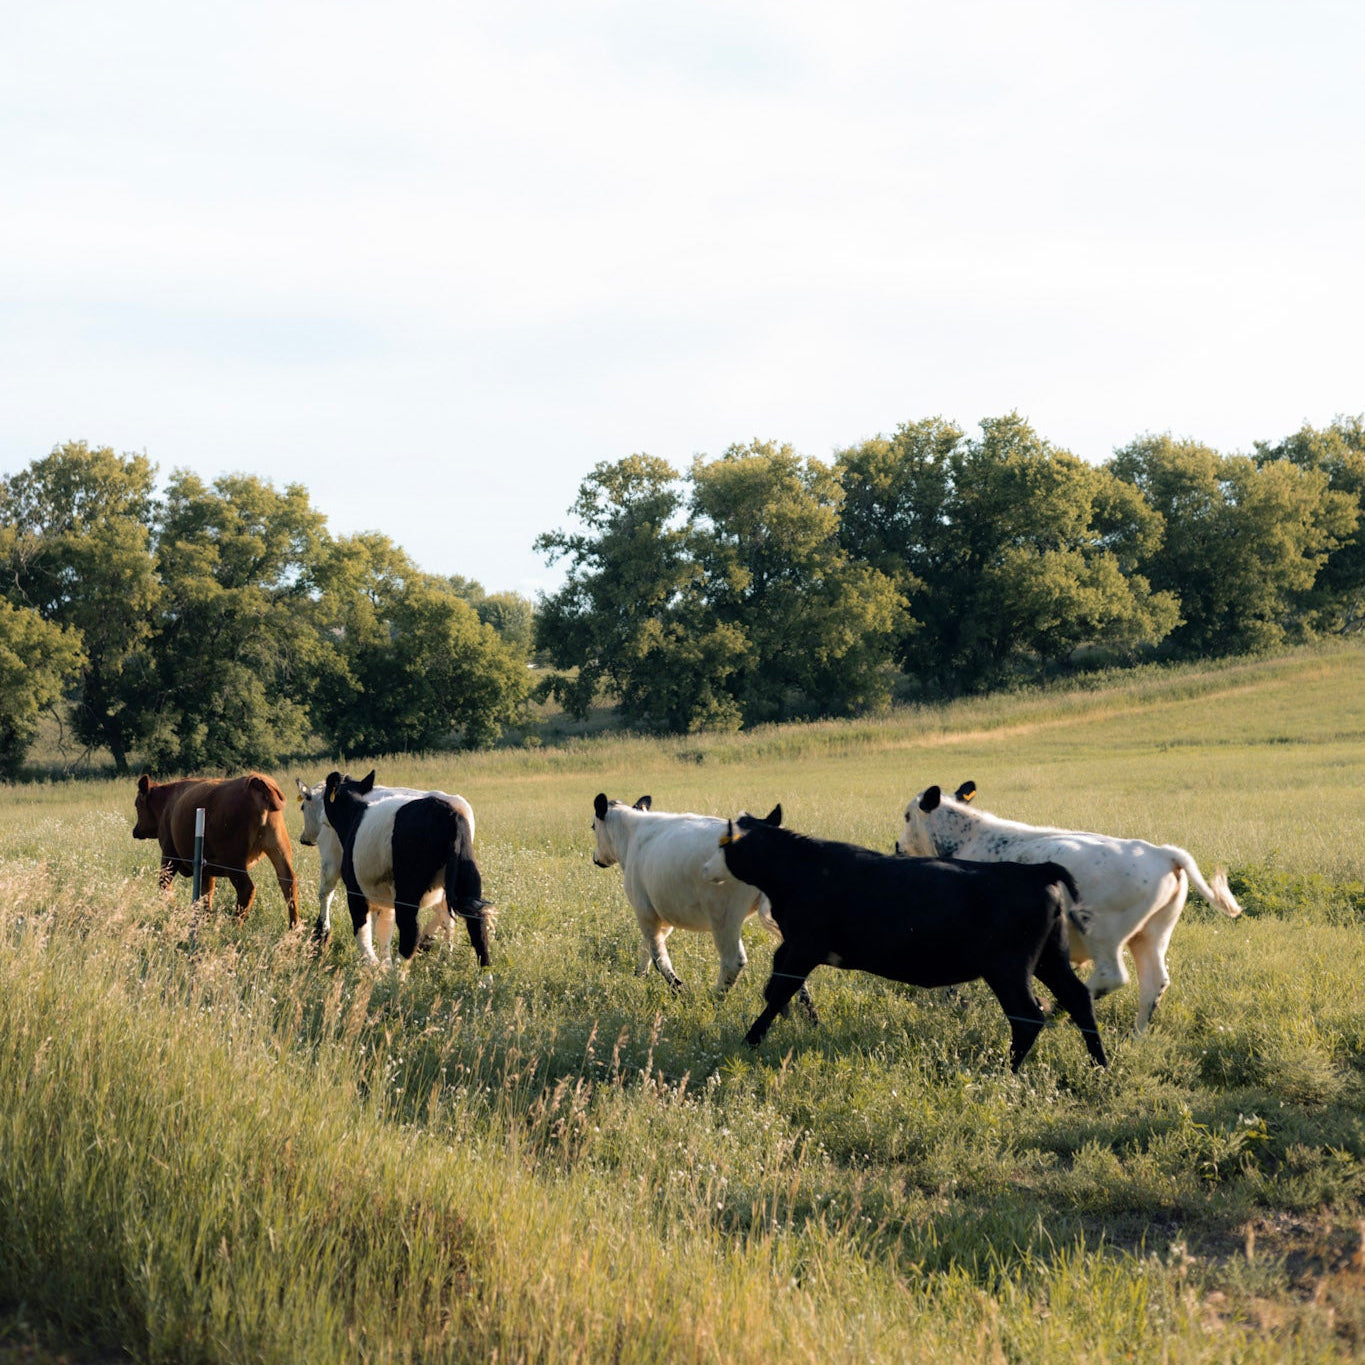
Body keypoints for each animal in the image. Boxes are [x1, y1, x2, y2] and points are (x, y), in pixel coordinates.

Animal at [132, 772, 300, 928]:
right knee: (288, 881)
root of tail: (254, 780)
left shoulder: (169, 853)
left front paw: (176, 911)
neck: (167, 802)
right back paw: (294, 927)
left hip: (233, 859)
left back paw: (234, 927)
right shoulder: (205, 867)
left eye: (137, 805)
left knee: (246, 889)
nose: (135, 830)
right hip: (279, 848)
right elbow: (207, 894)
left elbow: (164, 883)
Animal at [295, 776, 476, 963]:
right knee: (448, 916)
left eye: (302, 807)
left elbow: (325, 894)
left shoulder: (332, 861)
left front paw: (321, 933)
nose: (304, 839)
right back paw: (442, 951)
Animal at [591, 793, 814, 1017]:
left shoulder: (645, 910)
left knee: (733, 961)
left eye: (593, 826)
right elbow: (647, 947)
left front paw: (679, 991)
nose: (596, 859)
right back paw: (810, 1013)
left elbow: (658, 956)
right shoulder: (661, 914)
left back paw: (713, 1003)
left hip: (724, 917)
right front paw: (639, 976)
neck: (633, 836)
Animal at [703, 812, 1108, 1071]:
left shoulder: (805, 947)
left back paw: (1003, 1071)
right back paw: (1099, 1065)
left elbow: (780, 991)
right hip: (1049, 959)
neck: (801, 868)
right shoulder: (795, 946)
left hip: (1009, 969)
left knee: (1028, 1016)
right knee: (1077, 998)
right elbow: (778, 984)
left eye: (723, 842)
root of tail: (1035, 871)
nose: (706, 868)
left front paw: (751, 1040)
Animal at [896, 781, 1244, 1032]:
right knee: (1154, 982)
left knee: (1111, 976)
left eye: (907, 815)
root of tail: (1162, 853)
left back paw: (1059, 1012)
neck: (970, 838)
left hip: (1102, 933)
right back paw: (1137, 1035)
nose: (898, 847)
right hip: (1151, 935)